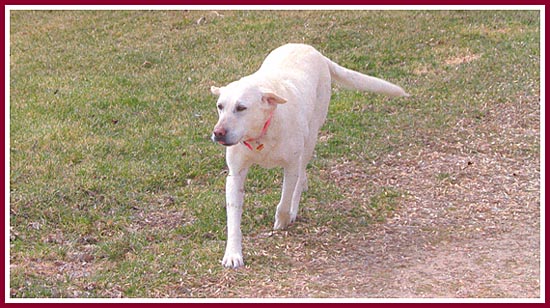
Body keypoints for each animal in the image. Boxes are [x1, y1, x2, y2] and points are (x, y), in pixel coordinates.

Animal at [211, 42, 410, 268]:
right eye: (220, 106)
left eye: (241, 107)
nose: (218, 133)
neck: (261, 133)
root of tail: (312, 49)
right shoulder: (235, 175)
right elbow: (233, 218)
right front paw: (233, 253)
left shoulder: (290, 166)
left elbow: (286, 198)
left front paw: (284, 218)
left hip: (311, 137)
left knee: (300, 175)